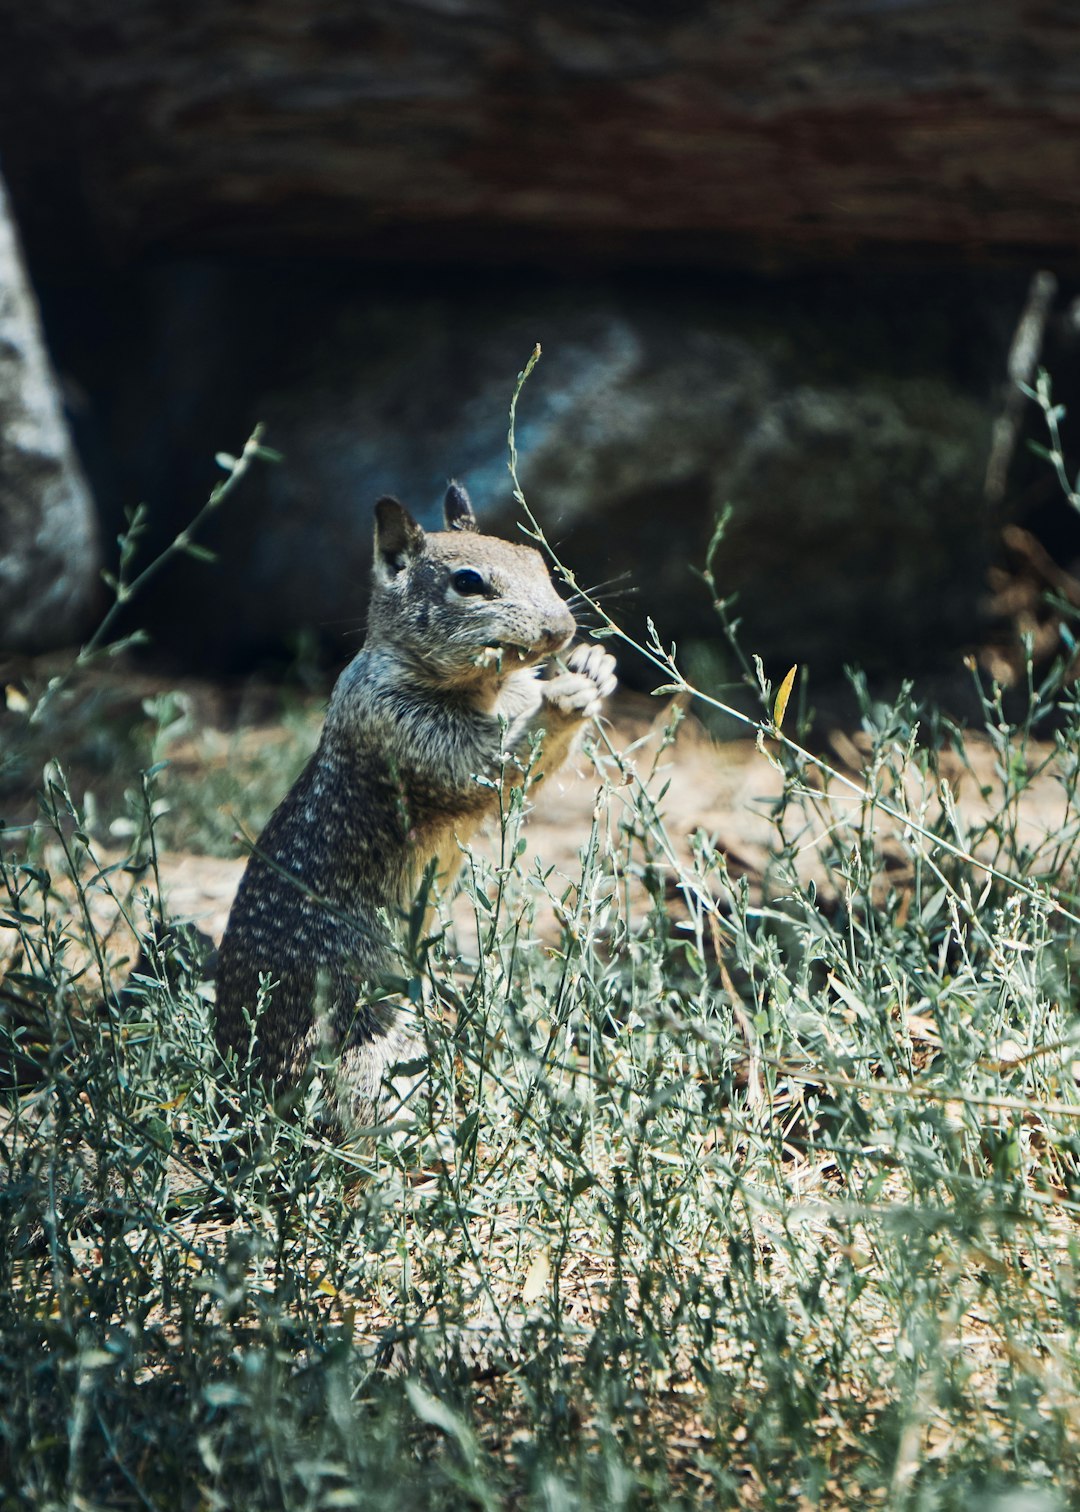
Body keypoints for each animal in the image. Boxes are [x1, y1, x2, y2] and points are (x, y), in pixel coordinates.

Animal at [214, 483, 614, 1137]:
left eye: (536, 560)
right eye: (468, 582)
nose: (561, 629)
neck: (486, 690)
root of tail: (233, 1076)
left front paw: (593, 668)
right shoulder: (403, 728)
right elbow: (487, 766)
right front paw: (563, 696)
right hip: (361, 1043)